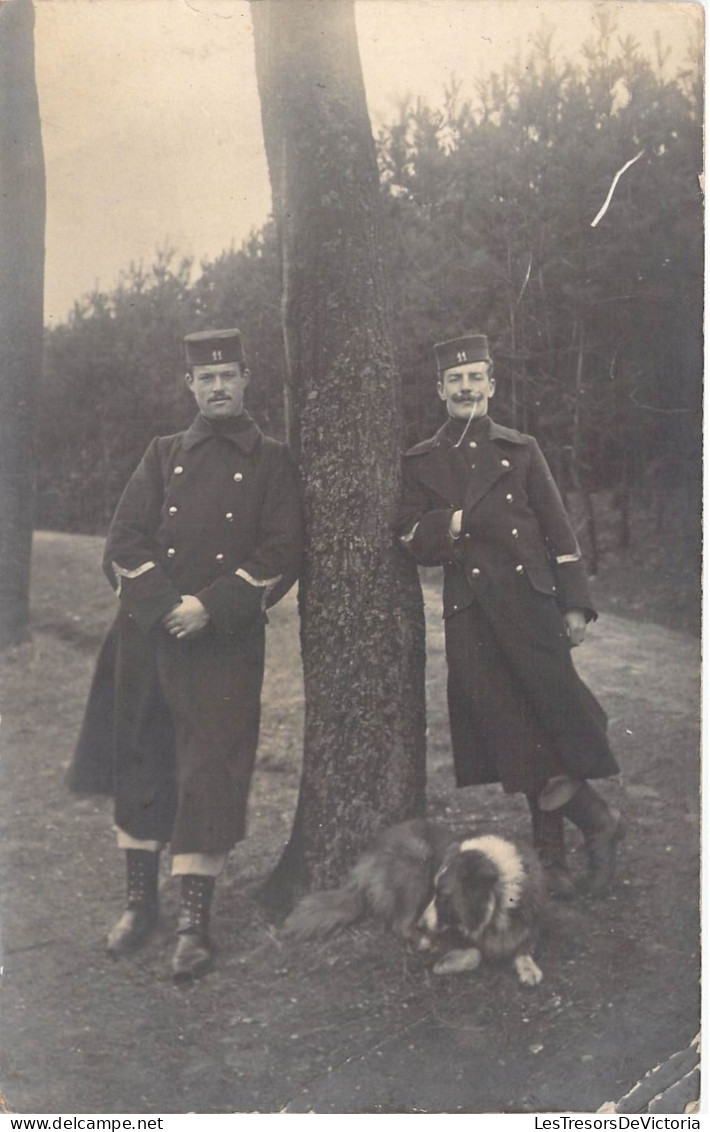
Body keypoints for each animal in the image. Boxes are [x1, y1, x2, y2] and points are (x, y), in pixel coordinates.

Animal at [281, 819, 543, 987]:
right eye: (435, 892)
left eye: (444, 895)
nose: (422, 924)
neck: (497, 905)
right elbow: (474, 953)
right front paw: (446, 963)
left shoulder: (528, 924)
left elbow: (525, 946)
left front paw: (529, 968)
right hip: (417, 859)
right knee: (400, 924)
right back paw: (423, 941)